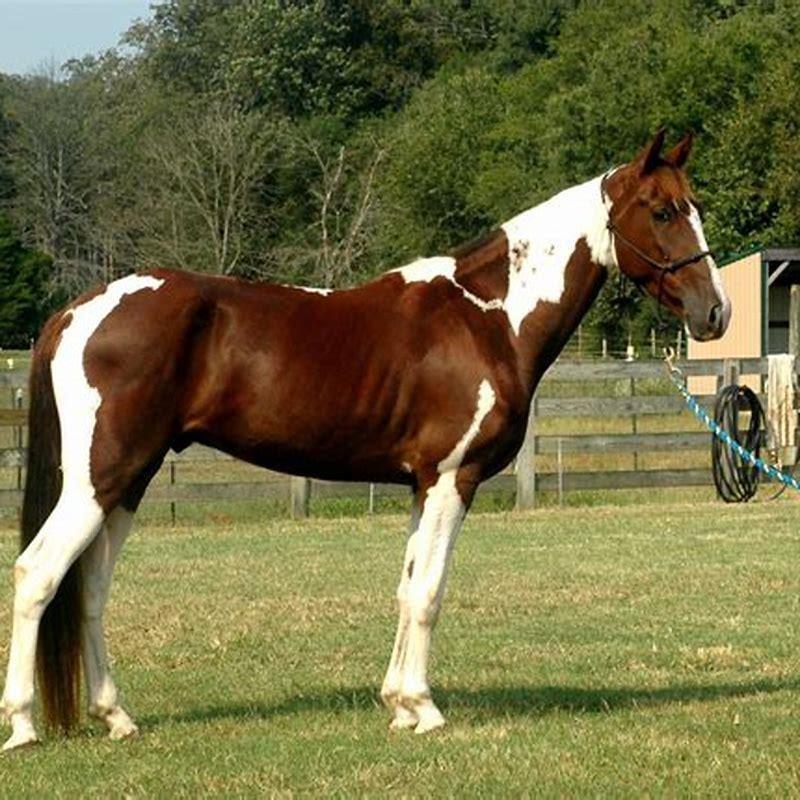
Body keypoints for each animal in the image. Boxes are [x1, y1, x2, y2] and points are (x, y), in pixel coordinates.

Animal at [1, 130, 729, 750]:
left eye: (694, 206)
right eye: (663, 211)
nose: (715, 312)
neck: (489, 317)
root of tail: (76, 310)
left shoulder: (421, 484)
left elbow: (407, 588)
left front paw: (400, 704)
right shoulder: (452, 478)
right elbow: (429, 593)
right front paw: (426, 709)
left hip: (129, 482)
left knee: (90, 588)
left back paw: (117, 716)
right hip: (100, 481)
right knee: (39, 572)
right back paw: (23, 726)